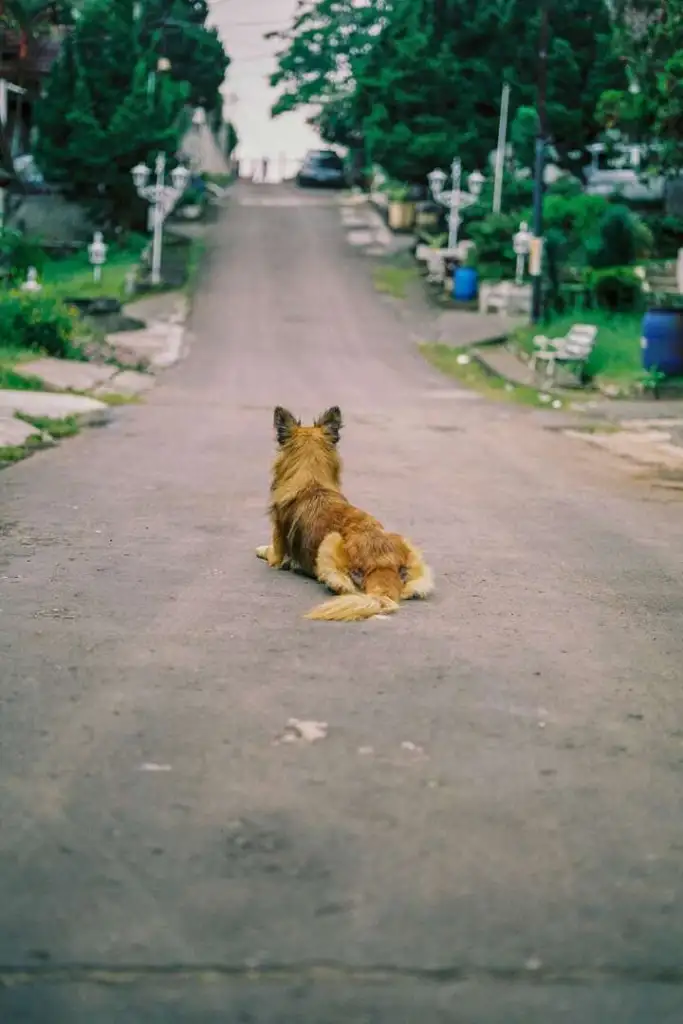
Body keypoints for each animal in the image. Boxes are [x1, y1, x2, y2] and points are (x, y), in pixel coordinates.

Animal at [255, 403, 432, 618]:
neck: (312, 483)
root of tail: (383, 563)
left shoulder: (277, 553)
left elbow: (268, 551)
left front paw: (261, 549)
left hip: (330, 542)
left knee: (346, 587)